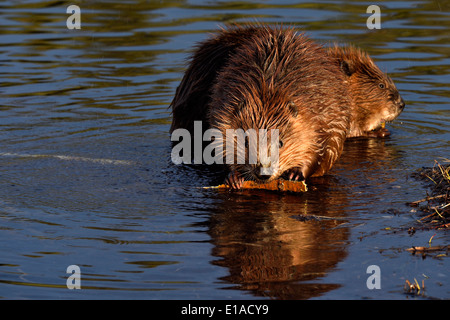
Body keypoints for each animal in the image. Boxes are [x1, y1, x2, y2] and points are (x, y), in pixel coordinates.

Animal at [169, 26, 404, 190]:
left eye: (281, 142)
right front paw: (234, 177)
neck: (268, 93)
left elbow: (324, 144)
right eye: (381, 86)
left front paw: (295, 174)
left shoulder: (323, 115)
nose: (401, 103)